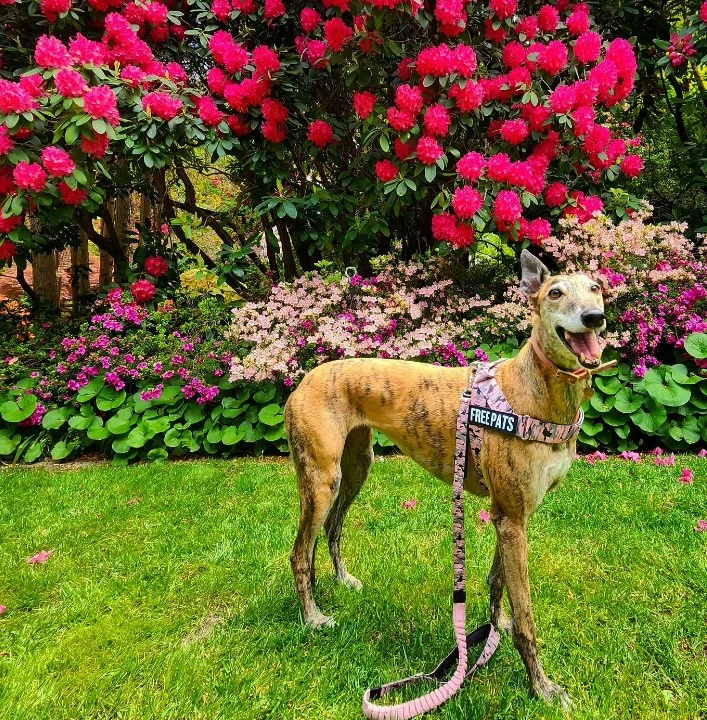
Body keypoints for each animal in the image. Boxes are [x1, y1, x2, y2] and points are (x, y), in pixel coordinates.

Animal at [286, 252, 608, 708]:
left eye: (596, 287)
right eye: (556, 293)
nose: (594, 318)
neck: (538, 393)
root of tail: (303, 380)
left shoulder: (509, 514)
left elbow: (497, 581)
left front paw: (495, 628)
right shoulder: (513, 518)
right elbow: (527, 620)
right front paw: (542, 687)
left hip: (357, 466)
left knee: (331, 529)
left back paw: (342, 581)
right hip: (320, 478)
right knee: (299, 553)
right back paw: (313, 617)